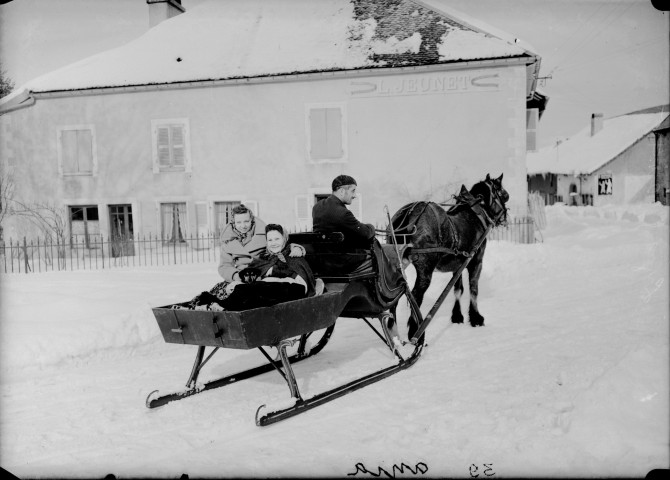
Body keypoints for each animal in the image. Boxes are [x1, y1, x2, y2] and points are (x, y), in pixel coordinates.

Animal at [388, 173, 510, 338]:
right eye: (504, 195)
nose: (504, 217)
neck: (476, 214)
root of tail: (409, 215)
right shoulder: (476, 261)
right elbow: (473, 289)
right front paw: (476, 317)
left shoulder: (457, 266)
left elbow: (458, 289)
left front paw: (457, 316)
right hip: (425, 268)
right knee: (416, 296)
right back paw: (416, 332)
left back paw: (392, 331)